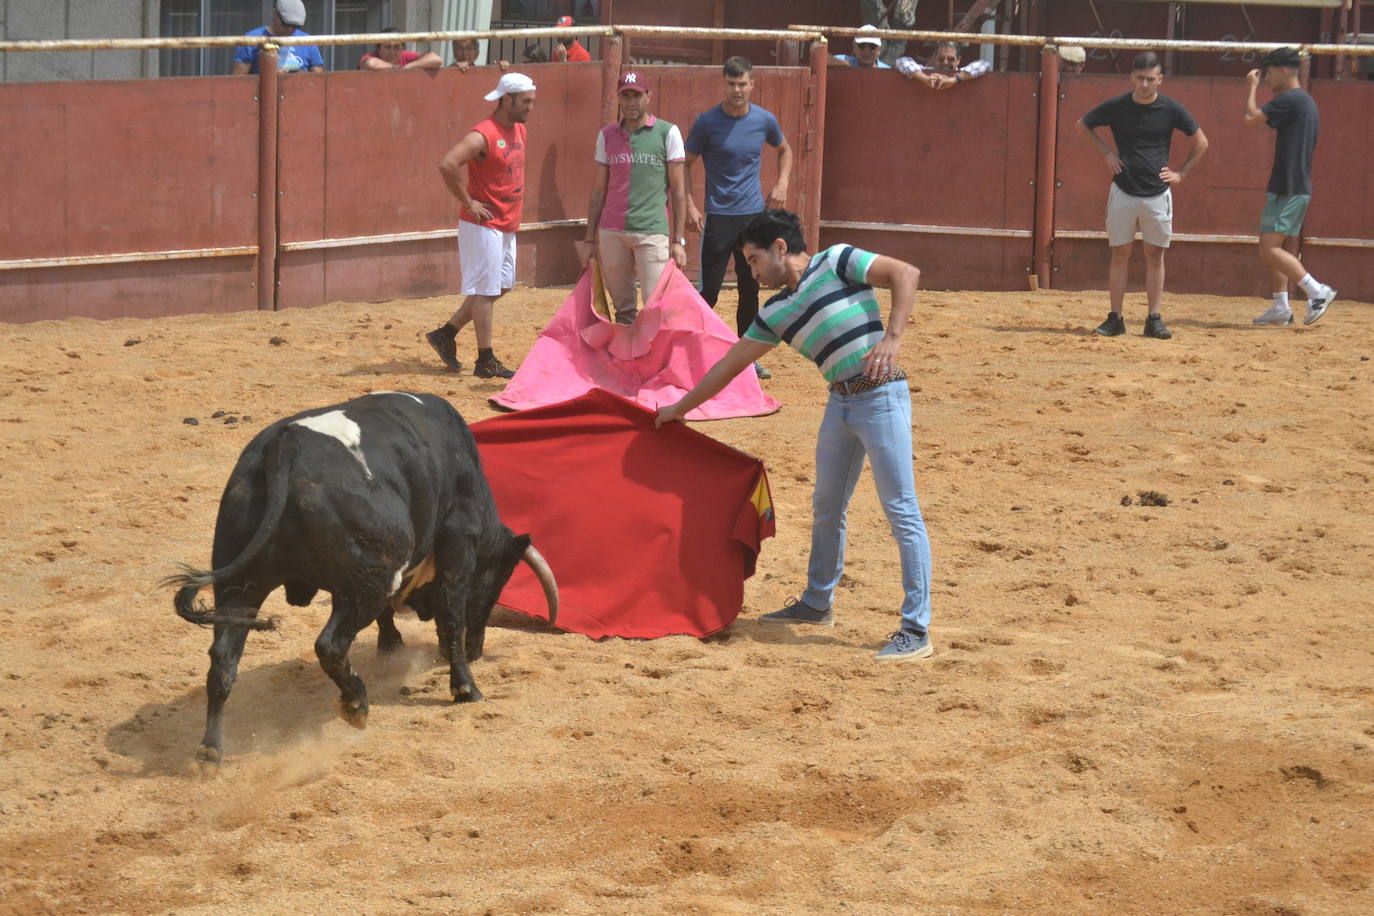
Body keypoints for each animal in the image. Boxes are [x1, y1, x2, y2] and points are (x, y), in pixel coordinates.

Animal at [166, 395, 557, 774]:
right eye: (496, 582)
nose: (477, 651)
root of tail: (283, 448)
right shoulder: (459, 544)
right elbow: (451, 616)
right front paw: (465, 688)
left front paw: (392, 644)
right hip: (372, 576)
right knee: (330, 645)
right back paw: (356, 704)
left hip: (240, 585)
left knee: (223, 660)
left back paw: (210, 753)